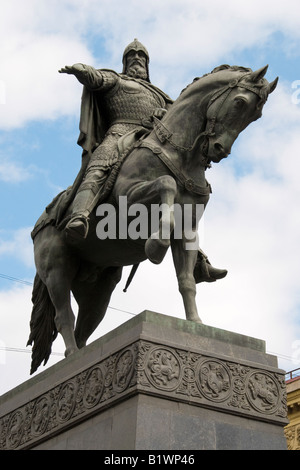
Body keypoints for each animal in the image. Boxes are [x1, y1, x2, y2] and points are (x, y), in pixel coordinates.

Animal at [27, 65, 278, 374]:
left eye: (257, 115)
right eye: (240, 102)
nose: (219, 149)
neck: (180, 155)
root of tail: (40, 224)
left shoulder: (188, 232)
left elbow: (186, 281)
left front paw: (196, 324)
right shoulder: (129, 201)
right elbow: (166, 185)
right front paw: (155, 246)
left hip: (97, 288)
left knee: (83, 328)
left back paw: (79, 359)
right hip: (57, 271)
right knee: (64, 317)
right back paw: (73, 358)